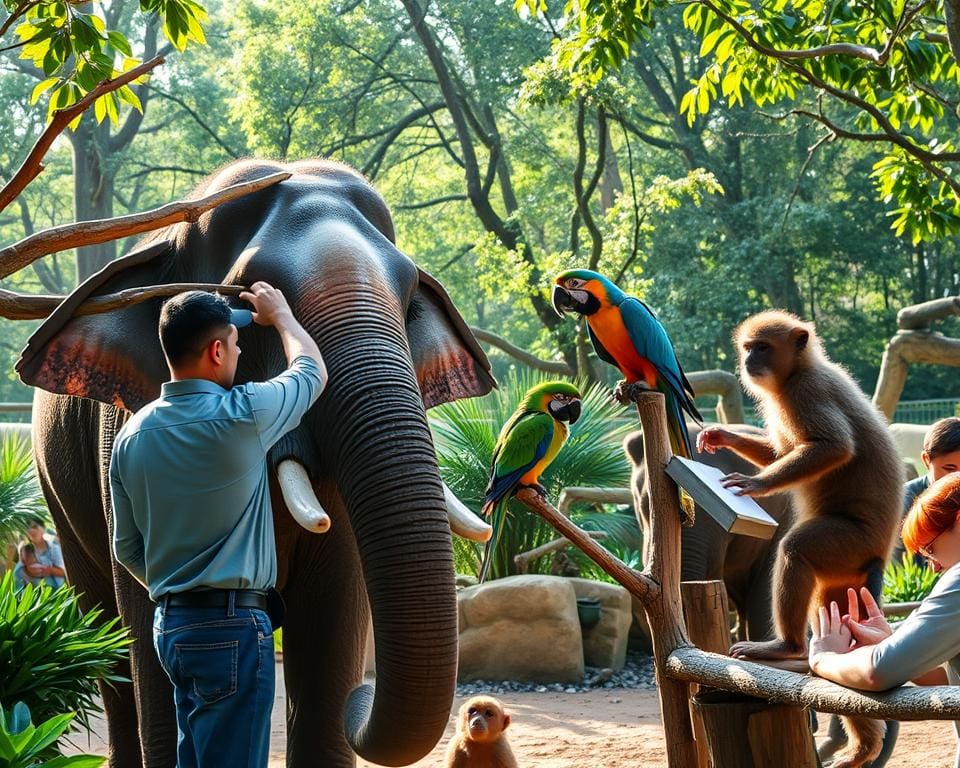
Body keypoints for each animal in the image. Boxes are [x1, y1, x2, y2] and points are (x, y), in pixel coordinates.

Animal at [13, 158, 496, 768]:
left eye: (410, 295)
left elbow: (335, 614)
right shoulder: (116, 432)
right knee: (105, 633)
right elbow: (143, 618)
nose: (361, 697)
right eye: (247, 294)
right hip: (58, 497)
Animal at [696, 312, 900, 768]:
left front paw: (754, 484)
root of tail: (879, 552)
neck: (798, 370)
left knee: (795, 549)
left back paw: (784, 647)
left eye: (762, 348)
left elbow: (834, 447)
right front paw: (721, 437)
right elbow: (781, 452)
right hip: (847, 576)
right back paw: (863, 749)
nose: (750, 361)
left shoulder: (806, 392)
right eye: (748, 347)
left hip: (847, 541)